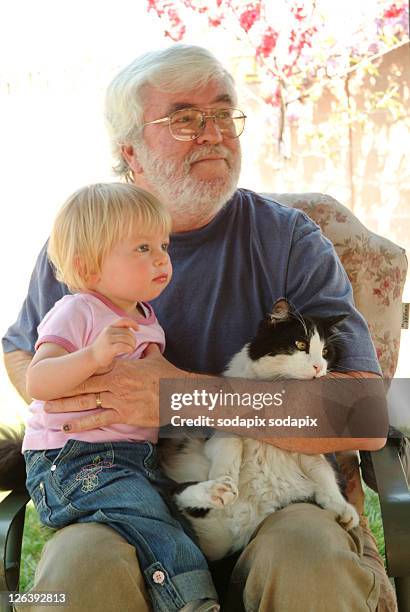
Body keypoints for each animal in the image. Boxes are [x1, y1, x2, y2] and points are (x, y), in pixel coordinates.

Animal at [160, 298, 358, 560]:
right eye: (300, 344)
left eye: (326, 352)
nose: (318, 368)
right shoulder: (214, 428)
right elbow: (231, 442)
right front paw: (224, 475)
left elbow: (322, 470)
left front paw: (342, 507)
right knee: (177, 492)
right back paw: (217, 489)